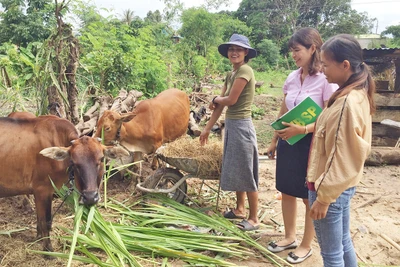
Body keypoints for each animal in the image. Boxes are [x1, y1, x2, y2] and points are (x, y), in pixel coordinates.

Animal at [0, 116, 128, 252]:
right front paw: (48, 250)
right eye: (74, 162)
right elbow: (44, 222)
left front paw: (38, 238)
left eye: (101, 159)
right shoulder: (41, 190)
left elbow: (44, 219)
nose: (90, 197)